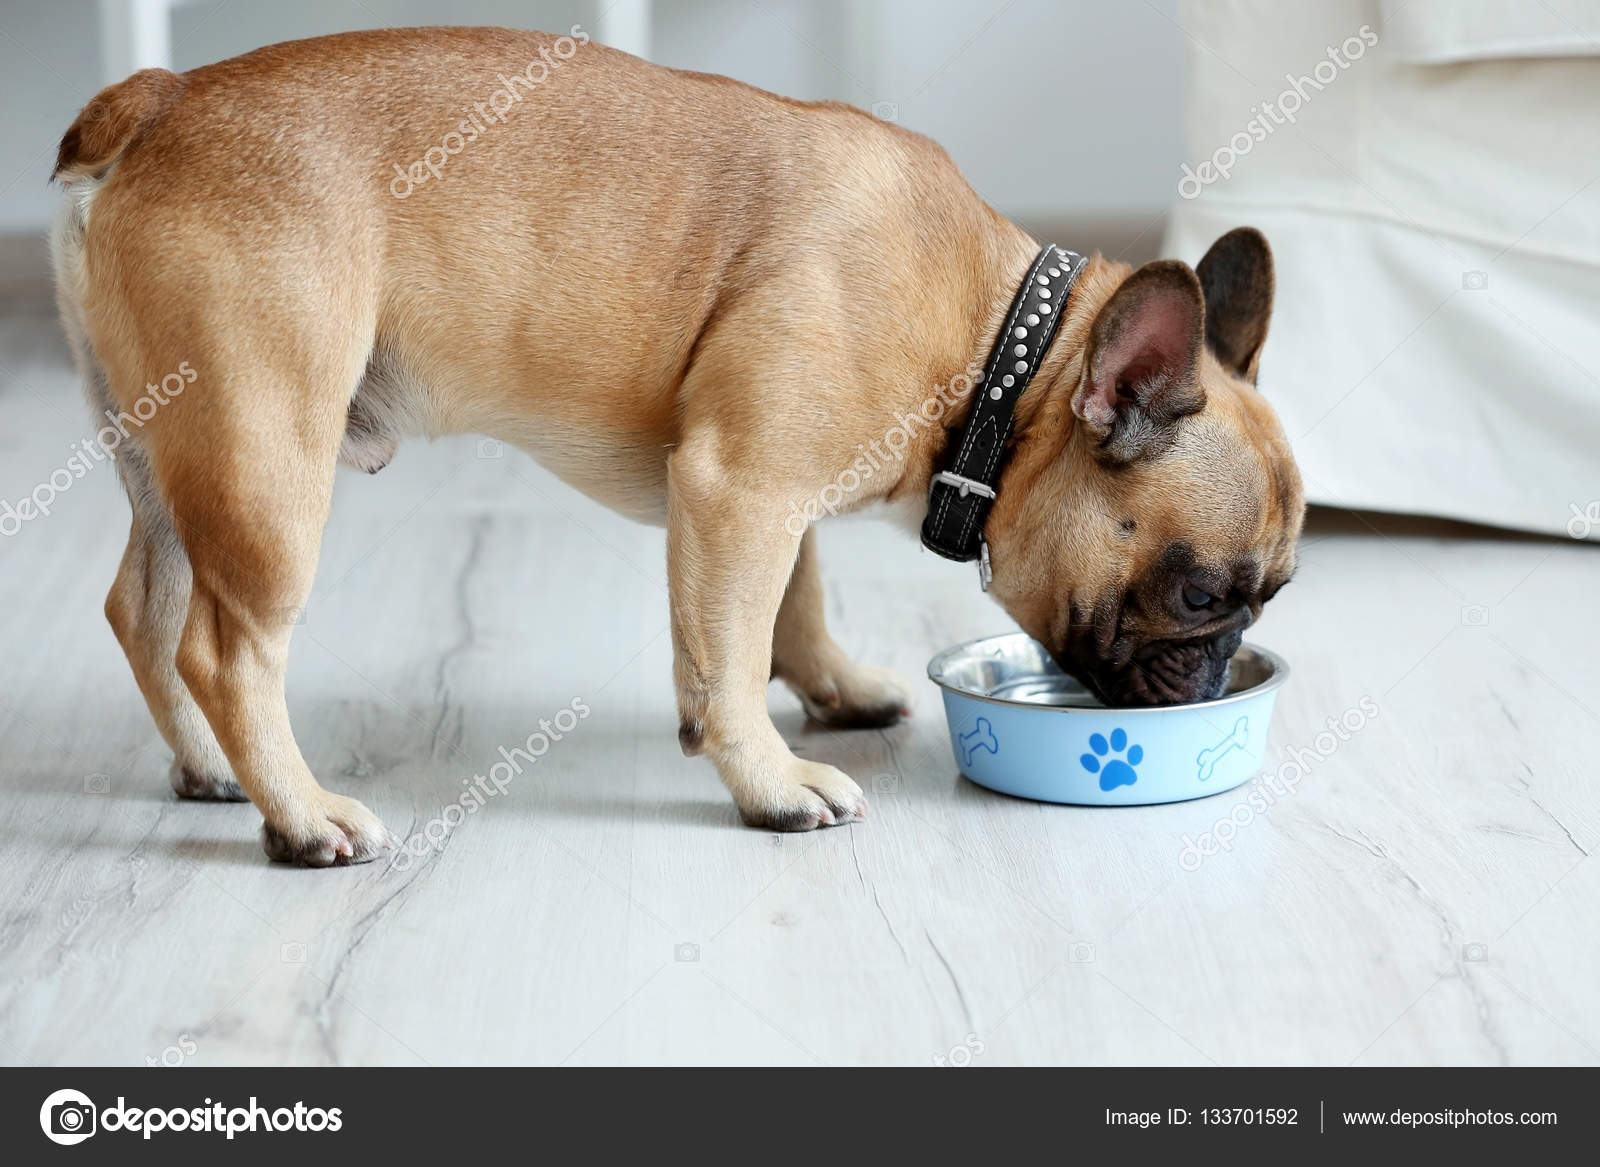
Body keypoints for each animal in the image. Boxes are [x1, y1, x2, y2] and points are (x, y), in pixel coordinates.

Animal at [50, 27, 1305, 864]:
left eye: (1273, 595)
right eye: (1202, 597)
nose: (1212, 674)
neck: (998, 348)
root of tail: (154, 100)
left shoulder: (766, 494)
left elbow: (787, 606)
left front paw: (827, 691)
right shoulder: (739, 486)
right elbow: (734, 653)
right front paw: (770, 780)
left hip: (170, 444)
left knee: (141, 609)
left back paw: (211, 772)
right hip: (265, 452)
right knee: (225, 652)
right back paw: (304, 817)